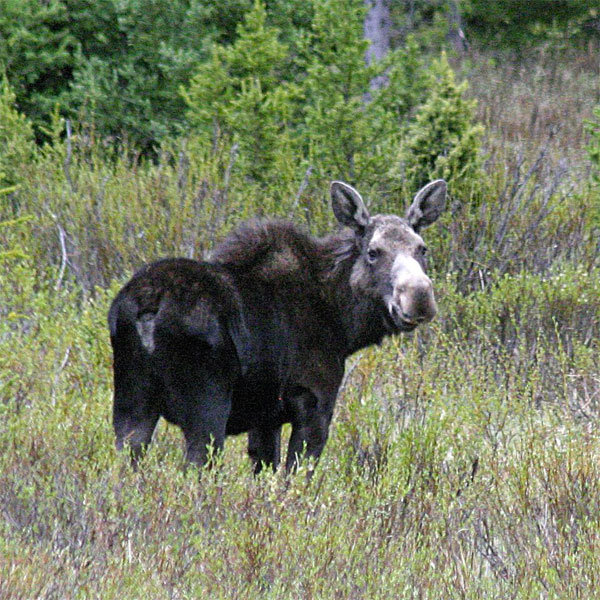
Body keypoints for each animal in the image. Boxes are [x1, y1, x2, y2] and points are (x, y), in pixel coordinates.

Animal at [108, 178, 446, 474]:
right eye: (373, 252)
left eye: (422, 248)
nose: (419, 296)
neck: (342, 322)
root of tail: (149, 308)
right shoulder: (314, 404)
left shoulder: (265, 418)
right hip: (206, 407)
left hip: (132, 404)